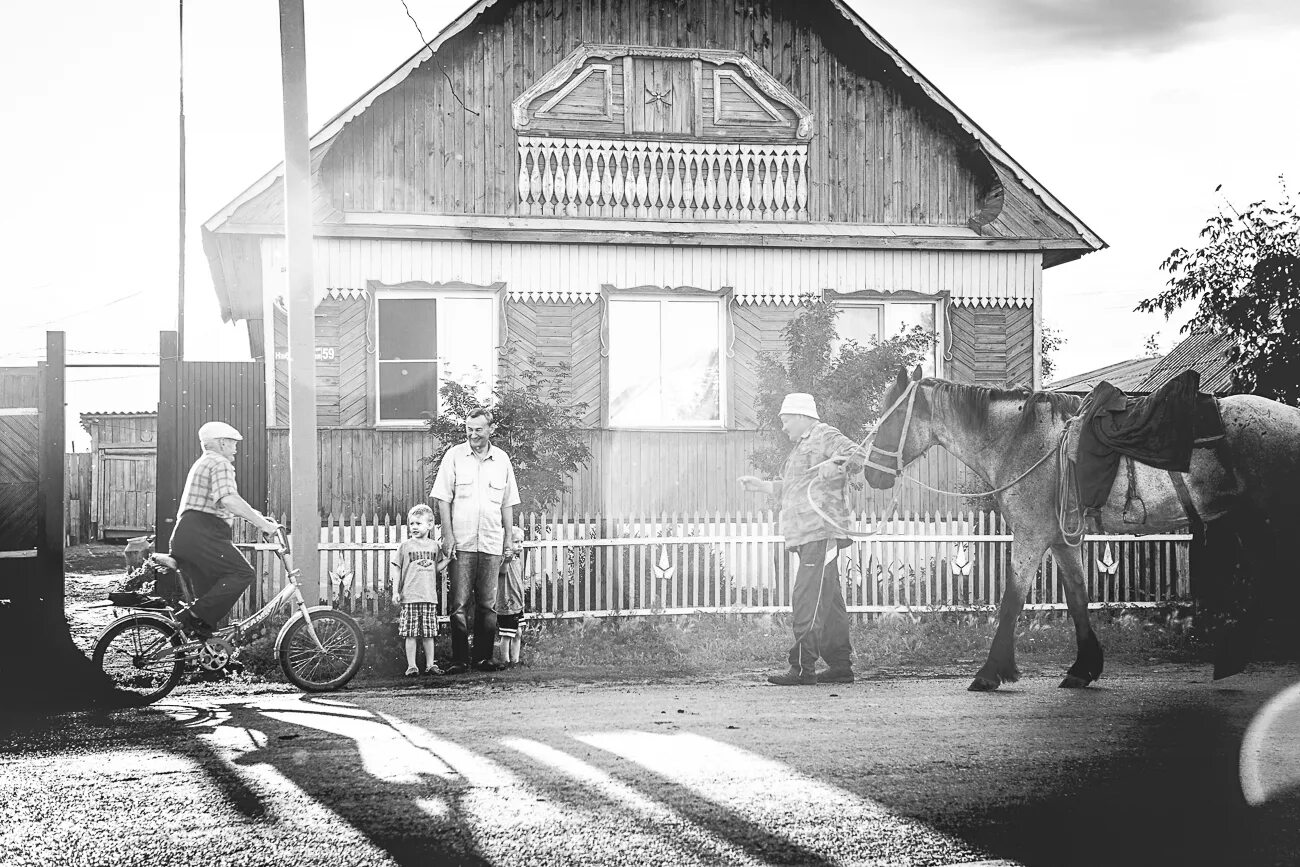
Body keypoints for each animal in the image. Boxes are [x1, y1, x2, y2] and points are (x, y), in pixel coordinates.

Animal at [868, 366, 1300, 691]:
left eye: (891, 419)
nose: (872, 472)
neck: (1021, 440)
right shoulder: (1061, 539)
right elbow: (1077, 597)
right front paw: (1084, 668)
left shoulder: (1031, 536)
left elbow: (1011, 601)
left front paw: (990, 673)